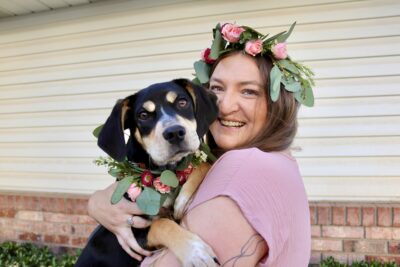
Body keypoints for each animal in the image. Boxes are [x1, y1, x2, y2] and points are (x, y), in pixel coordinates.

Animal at [75, 79, 219, 267]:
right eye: (143, 115)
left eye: (182, 102)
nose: (174, 133)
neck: (166, 171)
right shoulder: (131, 235)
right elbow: (162, 224)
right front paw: (196, 252)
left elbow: (204, 164)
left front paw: (183, 199)